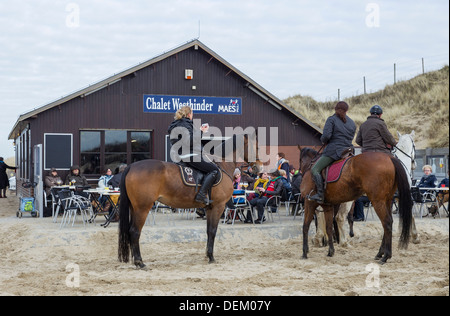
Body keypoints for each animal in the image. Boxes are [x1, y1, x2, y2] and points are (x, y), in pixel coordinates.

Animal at [118, 132, 262, 268]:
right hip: (142, 208)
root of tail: (131, 167)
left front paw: (208, 255)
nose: (259, 168)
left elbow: (208, 231)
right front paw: (211, 257)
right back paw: (139, 262)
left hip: (134, 208)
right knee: (135, 232)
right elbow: (213, 231)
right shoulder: (218, 206)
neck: (222, 165)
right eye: (256, 147)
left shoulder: (210, 208)